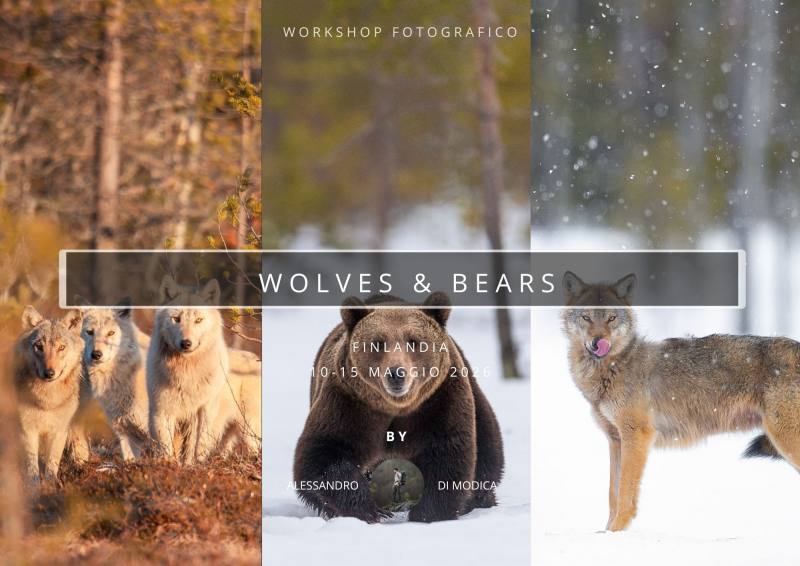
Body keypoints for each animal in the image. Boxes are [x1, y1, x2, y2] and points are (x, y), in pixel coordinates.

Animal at [13, 306, 84, 482]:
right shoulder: (27, 429)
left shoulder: (59, 431)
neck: (47, 400)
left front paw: (51, 484)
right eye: (39, 346)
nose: (49, 373)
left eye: (61, 347)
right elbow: (32, 464)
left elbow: (53, 462)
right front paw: (33, 486)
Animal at [147, 278, 260, 463]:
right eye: (176, 319)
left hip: (249, 431)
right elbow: (166, 447)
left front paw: (192, 466)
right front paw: (168, 465)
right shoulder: (162, 411)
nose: (186, 343)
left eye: (198, 320)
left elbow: (196, 446)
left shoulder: (202, 412)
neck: (185, 372)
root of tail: (255, 357)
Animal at [293, 292, 504, 523]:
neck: (396, 407)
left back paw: (480, 499)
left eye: (413, 341)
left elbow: (447, 452)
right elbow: (324, 454)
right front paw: (372, 510)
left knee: (488, 447)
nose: (396, 373)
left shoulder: (439, 400)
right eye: (377, 343)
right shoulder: (349, 403)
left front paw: (427, 513)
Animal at [562, 271, 800, 531]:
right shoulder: (615, 440)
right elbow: (612, 495)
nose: (598, 342)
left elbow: (624, 493)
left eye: (611, 318)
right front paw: (606, 533)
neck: (615, 366)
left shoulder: (637, 435)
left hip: (785, 439)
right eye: (586, 317)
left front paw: (615, 531)